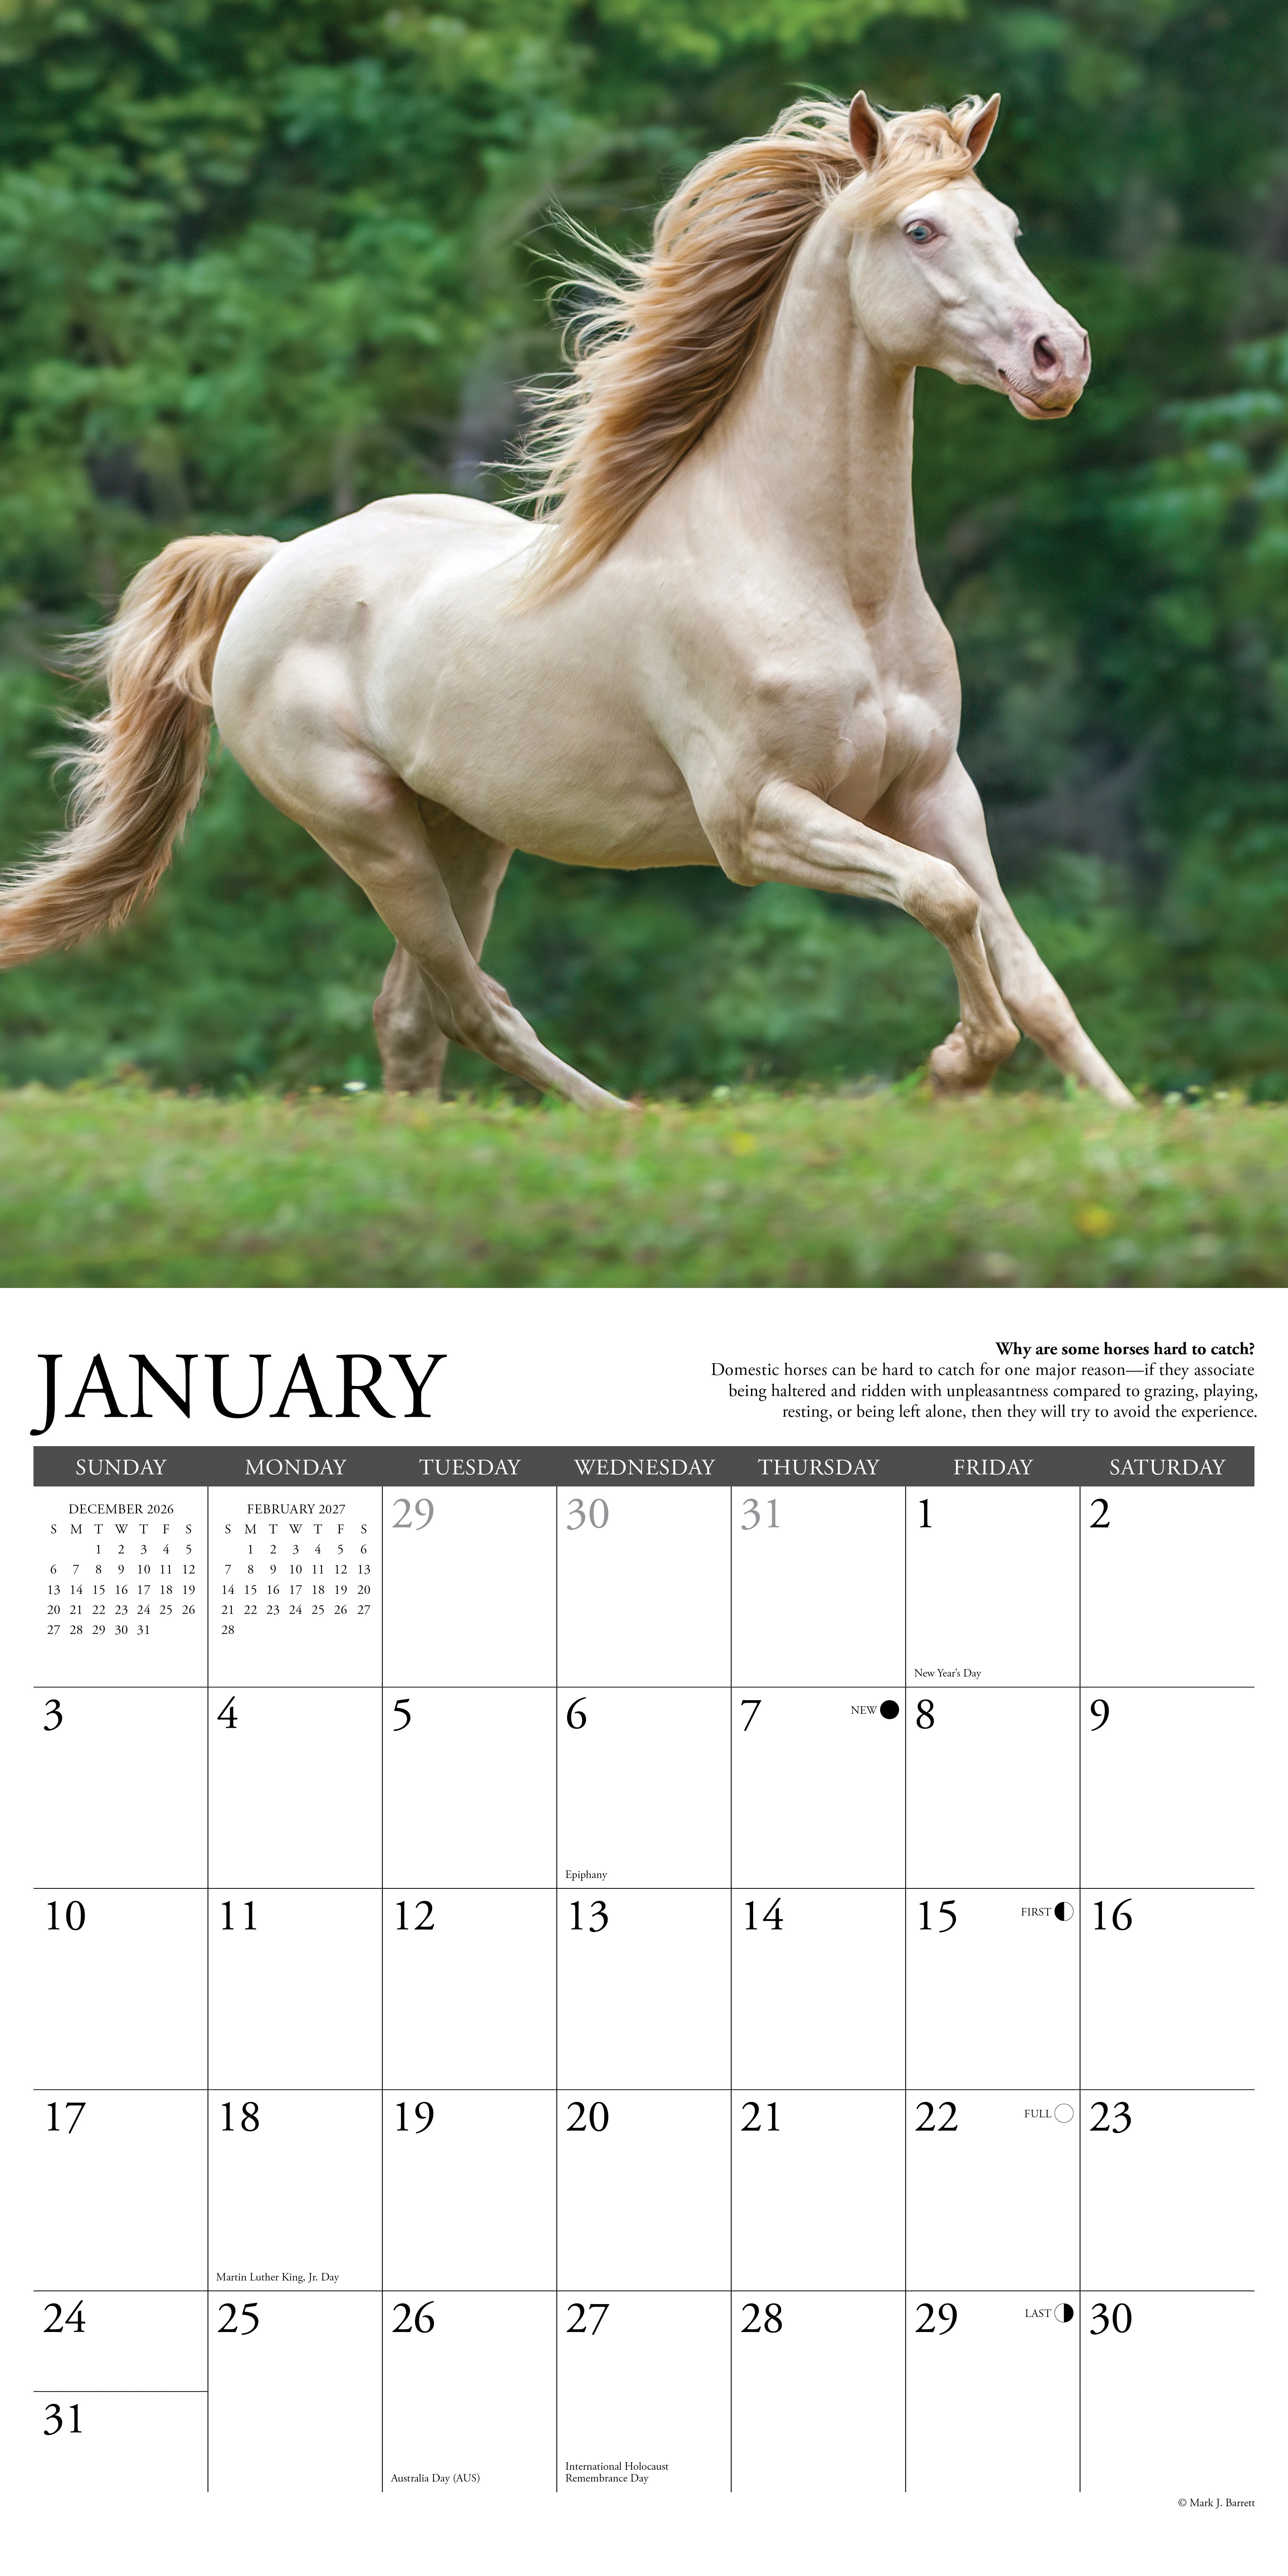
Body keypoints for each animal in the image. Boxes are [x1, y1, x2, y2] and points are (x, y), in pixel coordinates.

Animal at [0, 90, 1134, 1108]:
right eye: (921, 228)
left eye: (1010, 226)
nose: (1059, 356)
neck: (821, 580)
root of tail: (275, 565)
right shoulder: (755, 821)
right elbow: (943, 902)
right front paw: (955, 1066)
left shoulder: (935, 791)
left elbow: (1033, 978)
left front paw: (1115, 1118)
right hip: (369, 831)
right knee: (473, 1007)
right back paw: (625, 1124)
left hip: (465, 834)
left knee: (412, 1017)